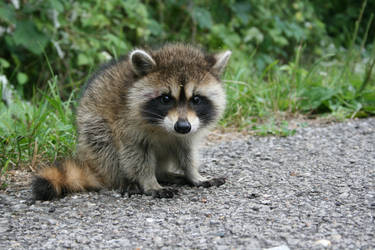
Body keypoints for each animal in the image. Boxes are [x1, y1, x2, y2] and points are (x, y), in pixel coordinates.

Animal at [33, 42, 232, 199]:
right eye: (166, 99)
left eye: (196, 99)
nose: (182, 126)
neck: (164, 128)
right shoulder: (126, 124)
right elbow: (137, 156)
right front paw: (149, 182)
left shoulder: (190, 130)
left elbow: (187, 152)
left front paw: (193, 174)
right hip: (92, 129)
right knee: (104, 143)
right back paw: (125, 180)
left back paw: (164, 174)